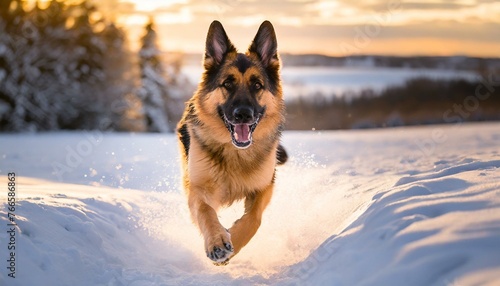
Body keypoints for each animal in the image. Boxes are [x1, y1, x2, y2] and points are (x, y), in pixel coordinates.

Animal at [177, 20, 288, 266]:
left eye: (257, 85)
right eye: (228, 83)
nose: (243, 115)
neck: (235, 154)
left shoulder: (265, 186)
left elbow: (254, 219)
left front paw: (234, 238)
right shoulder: (197, 189)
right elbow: (206, 211)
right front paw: (217, 242)